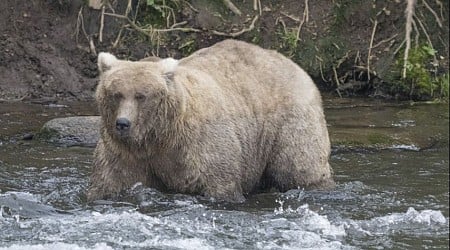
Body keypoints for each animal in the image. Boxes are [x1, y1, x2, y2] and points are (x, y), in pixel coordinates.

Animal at [87, 39, 334, 203]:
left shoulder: (201, 144)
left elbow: (219, 182)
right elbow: (111, 181)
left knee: (298, 166)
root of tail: (294, 64)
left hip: (289, 122)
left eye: (141, 96)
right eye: (116, 94)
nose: (123, 123)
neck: (160, 136)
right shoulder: (125, 152)